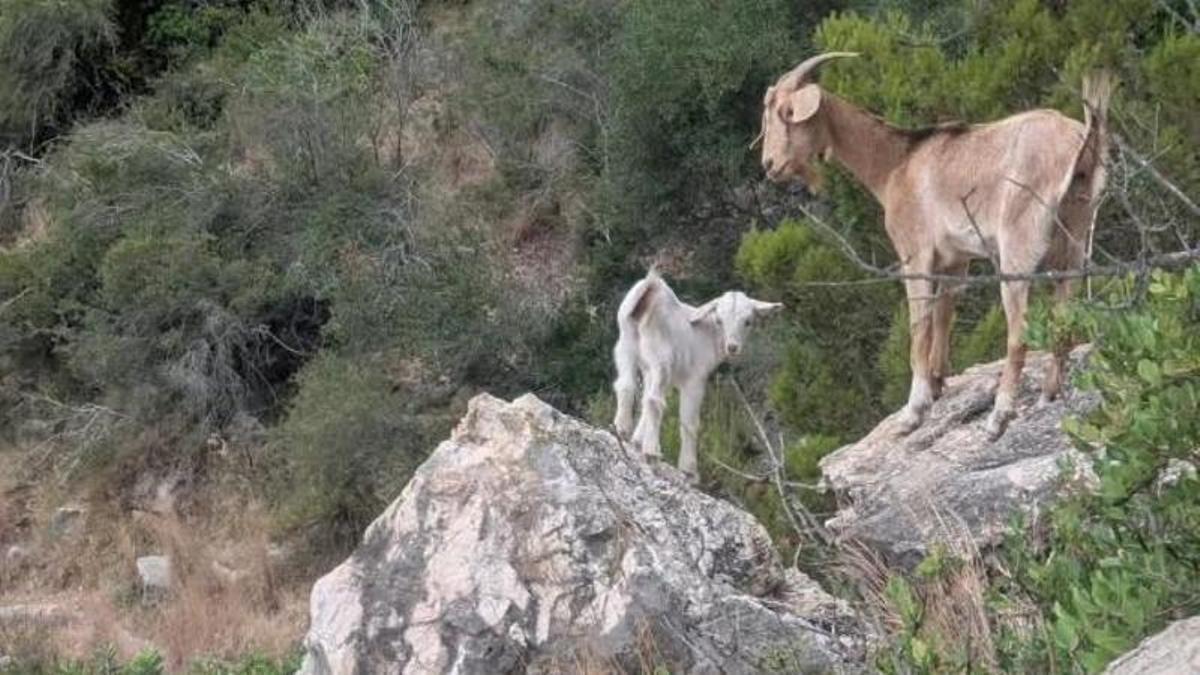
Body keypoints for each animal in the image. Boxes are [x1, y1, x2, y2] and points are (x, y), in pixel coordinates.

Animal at [612, 271, 782, 482]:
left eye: (747, 321)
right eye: (719, 320)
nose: (732, 347)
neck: (710, 334)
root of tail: (652, 289)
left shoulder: (653, 372)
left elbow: (644, 402)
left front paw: (637, 441)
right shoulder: (695, 379)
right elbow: (689, 422)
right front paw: (689, 470)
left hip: (626, 344)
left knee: (626, 385)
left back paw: (621, 429)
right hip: (661, 357)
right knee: (654, 400)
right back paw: (652, 452)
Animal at [759, 52, 1112, 438]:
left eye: (787, 113)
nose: (770, 165)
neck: (895, 164)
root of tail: (1081, 146)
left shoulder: (915, 254)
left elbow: (920, 326)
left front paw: (914, 410)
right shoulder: (955, 259)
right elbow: (945, 312)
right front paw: (939, 382)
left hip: (1018, 245)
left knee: (1018, 333)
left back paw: (999, 416)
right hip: (1075, 242)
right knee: (1064, 320)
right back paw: (1050, 393)